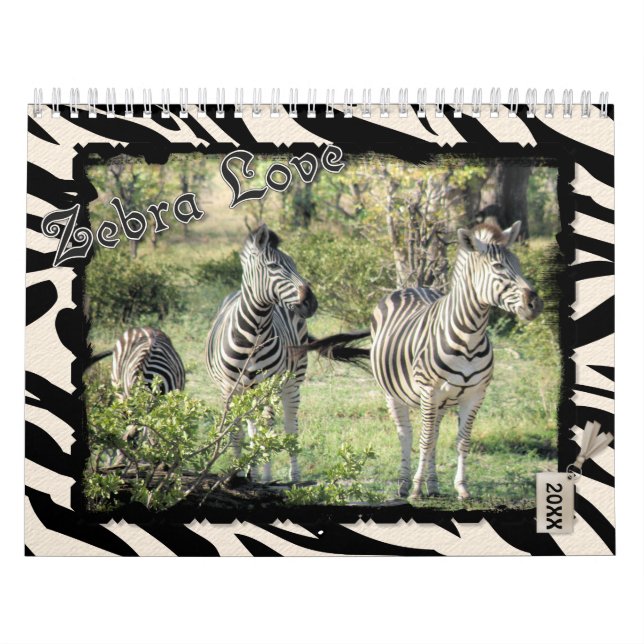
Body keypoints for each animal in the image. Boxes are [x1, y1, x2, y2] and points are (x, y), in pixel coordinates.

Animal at [205, 224, 366, 484]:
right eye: (273, 267)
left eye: (294, 264)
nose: (311, 303)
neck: (253, 335)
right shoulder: (229, 390)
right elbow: (237, 433)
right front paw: (237, 475)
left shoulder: (270, 386)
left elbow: (267, 431)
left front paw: (266, 477)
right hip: (249, 391)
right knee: (252, 425)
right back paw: (251, 472)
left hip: (292, 382)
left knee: (290, 426)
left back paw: (293, 476)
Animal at [369, 220, 543, 499]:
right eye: (498, 266)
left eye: (518, 263)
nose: (535, 304)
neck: (469, 338)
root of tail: (410, 285)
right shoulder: (429, 391)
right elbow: (425, 440)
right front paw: (416, 488)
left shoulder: (475, 394)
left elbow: (462, 441)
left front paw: (461, 487)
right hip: (393, 393)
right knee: (406, 434)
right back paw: (405, 484)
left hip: (442, 401)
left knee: (435, 432)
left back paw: (433, 485)